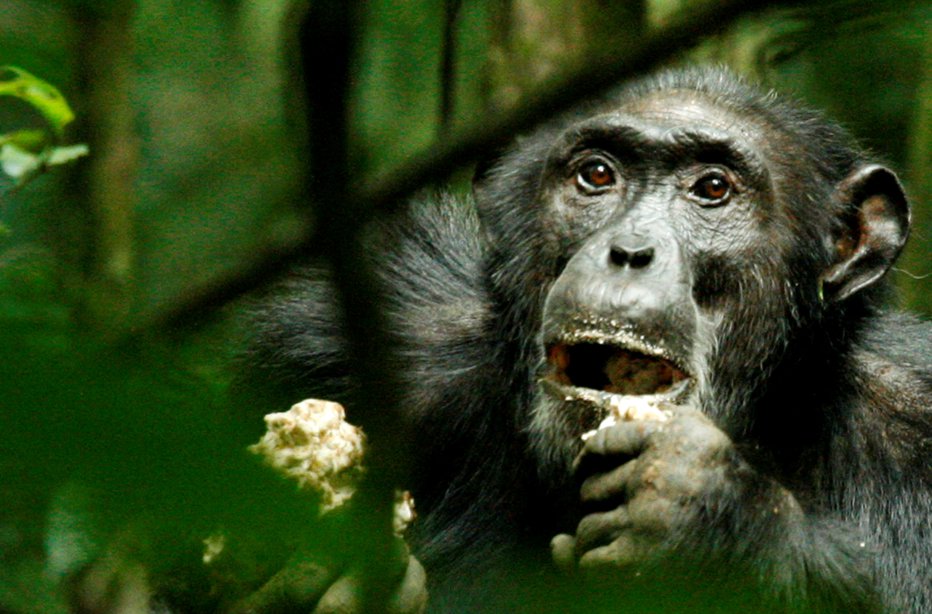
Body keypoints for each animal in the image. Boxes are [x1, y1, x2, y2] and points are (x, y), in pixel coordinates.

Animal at [242, 70, 932, 612]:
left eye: (712, 189)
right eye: (596, 175)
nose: (629, 250)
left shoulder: (915, 432)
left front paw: (708, 511)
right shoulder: (342, 343)